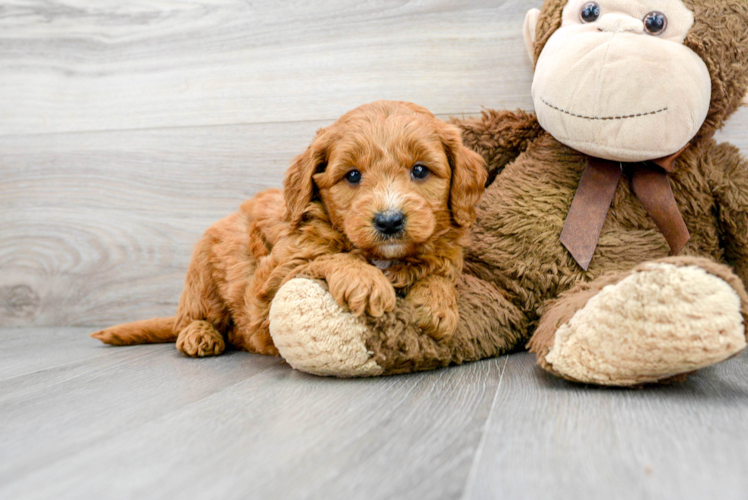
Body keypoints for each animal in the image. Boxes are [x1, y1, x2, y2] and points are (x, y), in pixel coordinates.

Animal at [92, 101, 486, 358]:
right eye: (352, 175)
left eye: (420, 170)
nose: (389, 221)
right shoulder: (270, 284)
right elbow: (324, 257)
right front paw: (364, 280)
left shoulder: (443, 254)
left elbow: (437, 274)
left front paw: (437, 306)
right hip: (202, 273)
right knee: (193, 317)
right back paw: (198, 334)